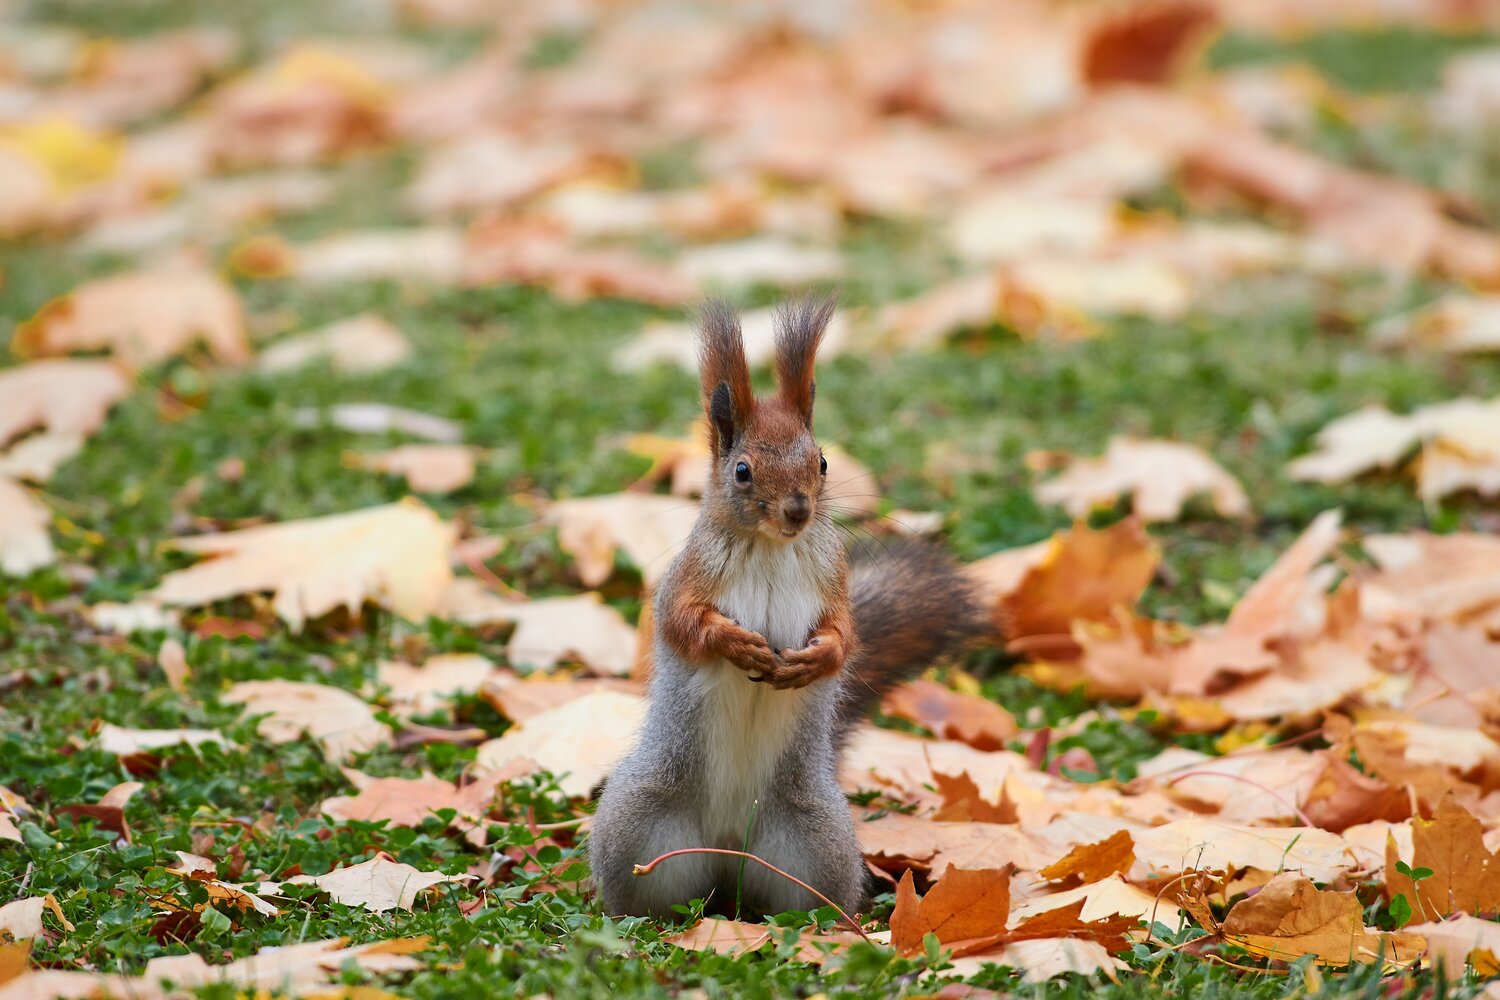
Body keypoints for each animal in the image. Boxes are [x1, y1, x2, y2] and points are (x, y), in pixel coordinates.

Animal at [590, 297, 986, 919]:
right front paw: (735, 643)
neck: (774, 546)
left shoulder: (833, 581)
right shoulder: (687, 578)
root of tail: (728, 849)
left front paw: (816, 659)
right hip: (640, 825)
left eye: (821, 462)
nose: (798, 511)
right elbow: (681, 623)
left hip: (814, 842)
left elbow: (845, 635)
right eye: (742, 471)